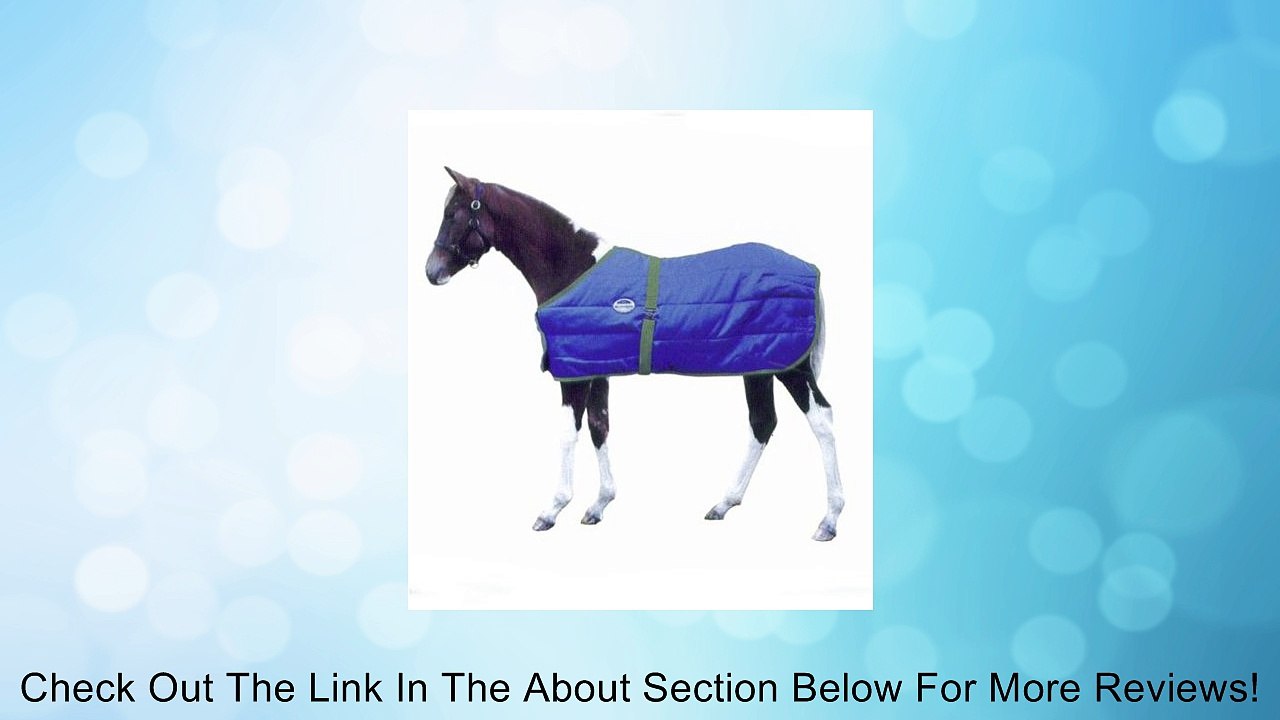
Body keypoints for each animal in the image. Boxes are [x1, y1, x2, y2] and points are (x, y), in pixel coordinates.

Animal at [424, 167, 845, 541]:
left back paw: (829, 520)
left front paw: (552, 509)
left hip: (792, 368)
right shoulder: (595, 369)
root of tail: (810, 270)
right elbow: (600, 427)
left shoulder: (573, 373)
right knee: (762, 423)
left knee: (821, 419)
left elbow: (568, 434)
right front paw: (598, 505)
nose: (431, 272)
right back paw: (724, 503)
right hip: (759, 364)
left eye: (453, 213)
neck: (573, 267)